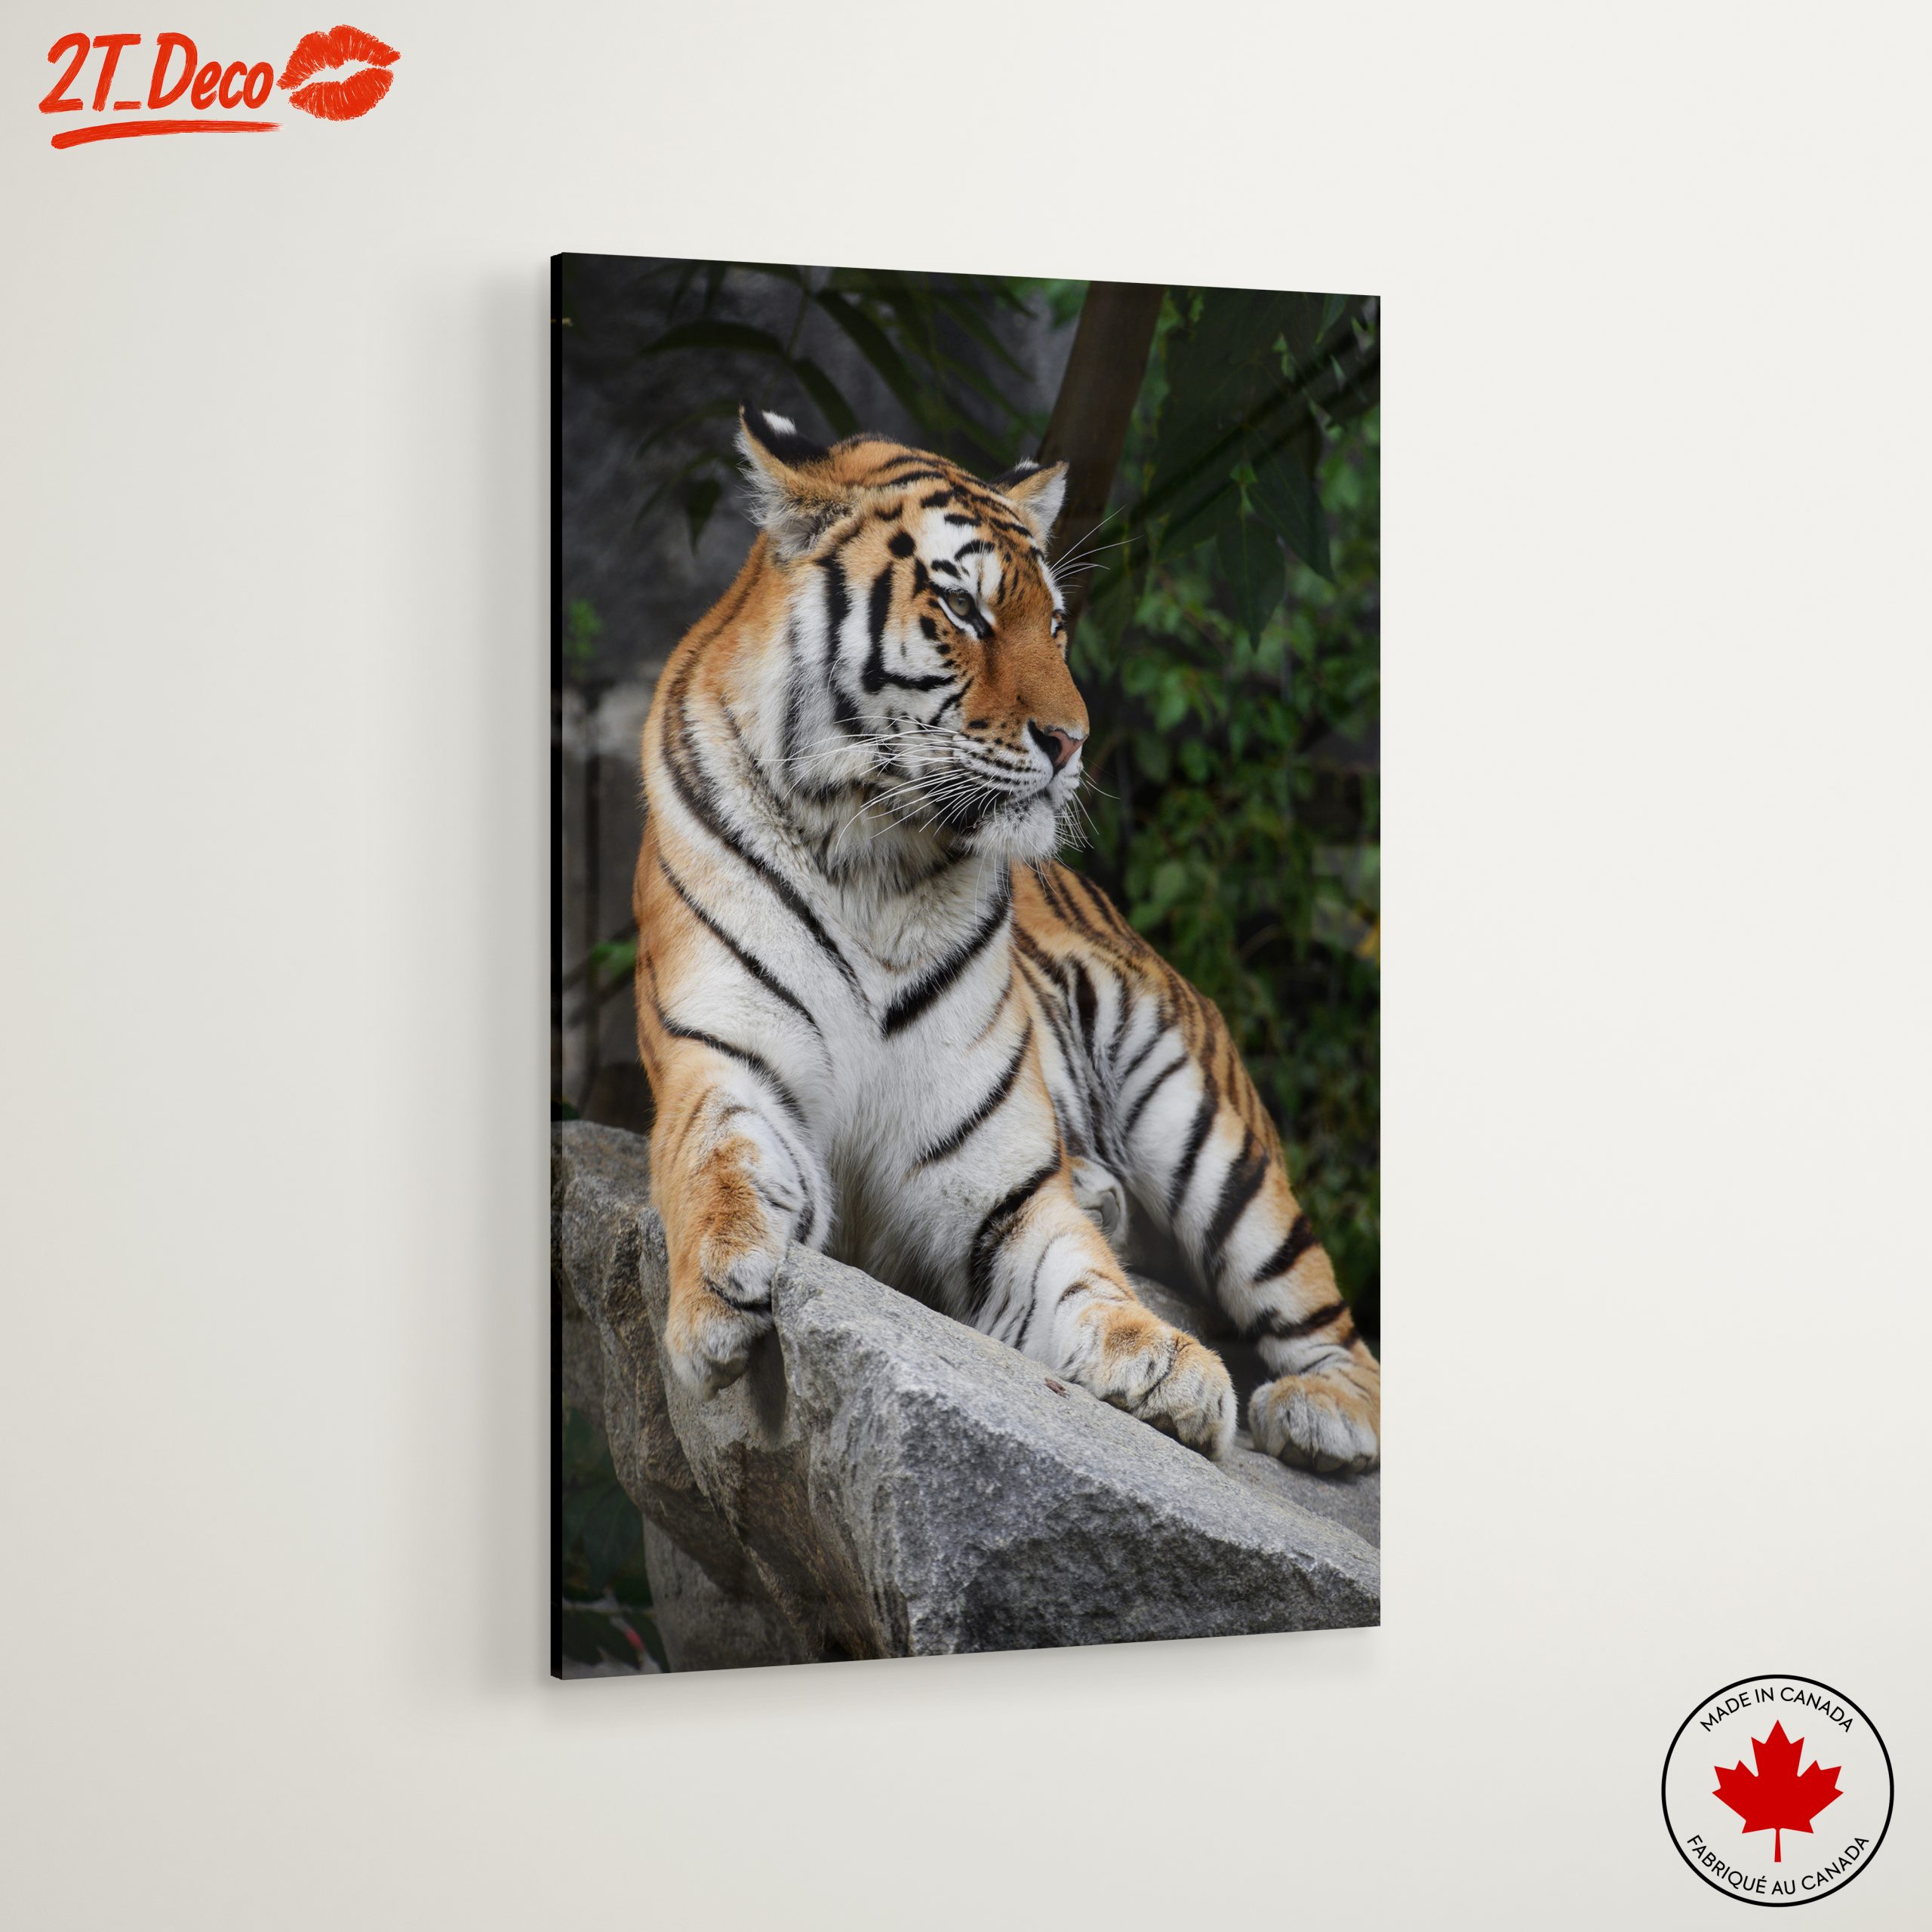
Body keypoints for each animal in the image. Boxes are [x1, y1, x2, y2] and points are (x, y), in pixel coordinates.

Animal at [629, 406, 1379, 1473]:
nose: (1072, 742)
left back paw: (1325, 1412)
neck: (874, 861)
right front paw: (721, 1288)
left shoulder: (997, 1184)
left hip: (1204, 1119)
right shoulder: (724, 1062)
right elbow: (720, 1165)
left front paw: (1168, 1365)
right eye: (963, 610)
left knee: (1326, 1315)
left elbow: (1079, 1275)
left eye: (1053, 625)